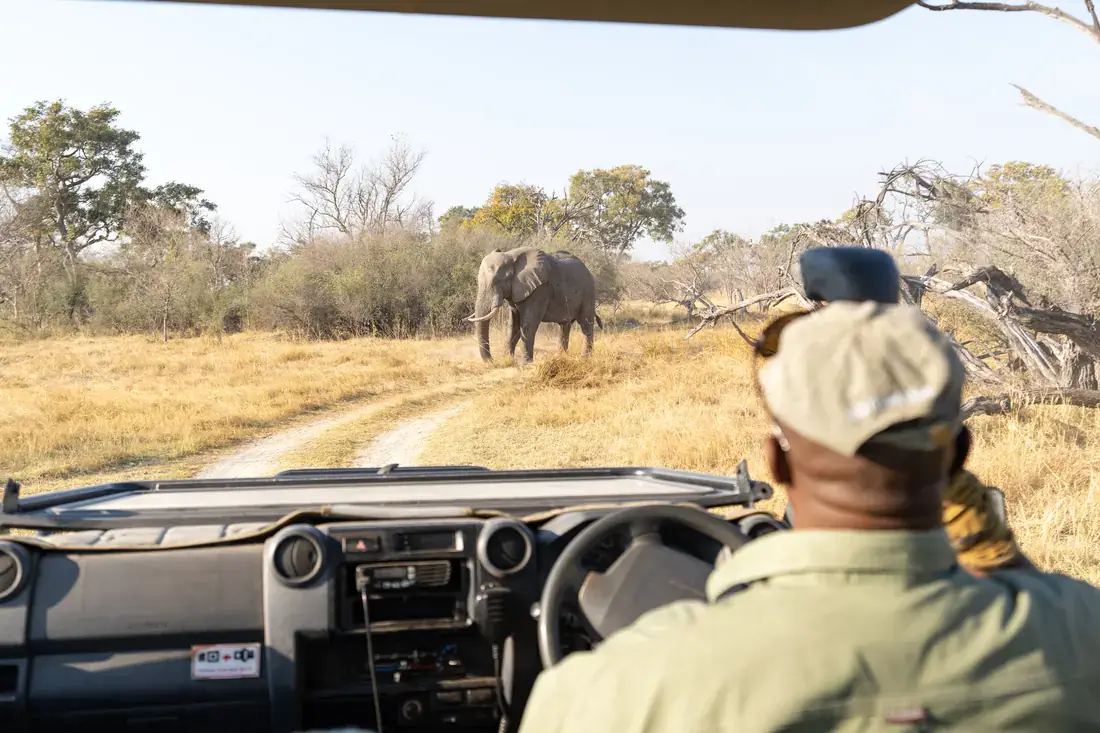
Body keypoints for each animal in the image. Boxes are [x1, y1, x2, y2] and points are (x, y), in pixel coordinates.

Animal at [466, 246, 603, 363]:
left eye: (498, 281)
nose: (493, 361)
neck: (511, 255)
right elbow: (513, 325)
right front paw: (508, 360)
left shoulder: (540, 290)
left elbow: (528, 325)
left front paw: (525, 363)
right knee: (565, 325)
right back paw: (560, 356)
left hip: (588, 293)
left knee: (586, 325)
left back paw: (585, 358)